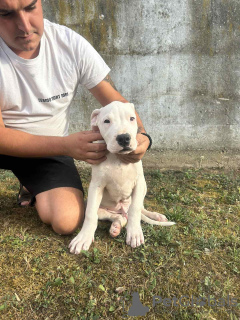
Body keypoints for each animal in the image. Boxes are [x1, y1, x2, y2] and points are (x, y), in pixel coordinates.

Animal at [69, 101, 174, 254]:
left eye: (132, 118)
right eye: (106, 121)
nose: (123, 138)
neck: (117, 157)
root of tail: (121, 209)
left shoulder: (139, 183)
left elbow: (135, 210)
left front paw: (134, 233)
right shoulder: (96, 186)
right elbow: (90, 214)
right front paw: (83, 238)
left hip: (142, 190)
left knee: (139, 209)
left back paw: (156, 216)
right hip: (103, 209)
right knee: (117, 216)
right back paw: (116, 227)